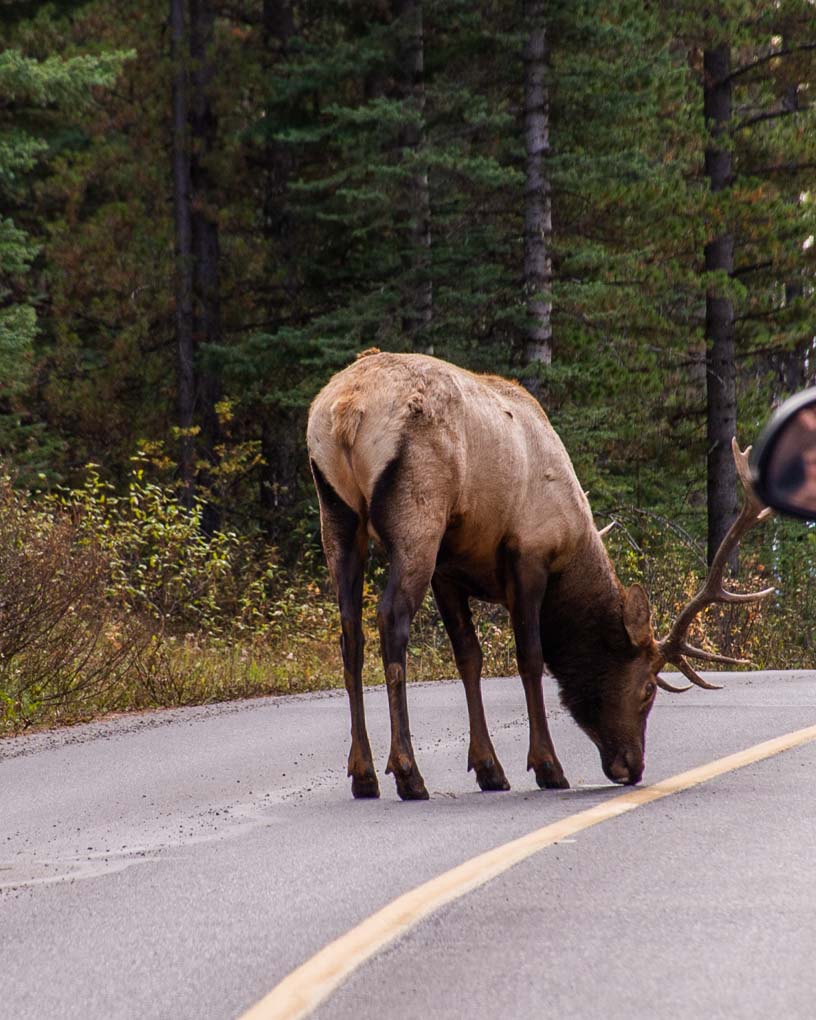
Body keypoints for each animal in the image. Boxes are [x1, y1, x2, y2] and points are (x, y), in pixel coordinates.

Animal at [306, 350, 773, 800]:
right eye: (648, 689)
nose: (632, 766)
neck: (573, 544)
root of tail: (346, 410)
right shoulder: (528, 553)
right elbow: (531, 657)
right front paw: (547, 766)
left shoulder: (449, 569)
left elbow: (469, 657)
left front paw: (490, 768)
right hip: (418, 516)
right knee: (391, 621)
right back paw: (408, 773)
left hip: (338, 517)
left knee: (351, 633)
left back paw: (363, 773)